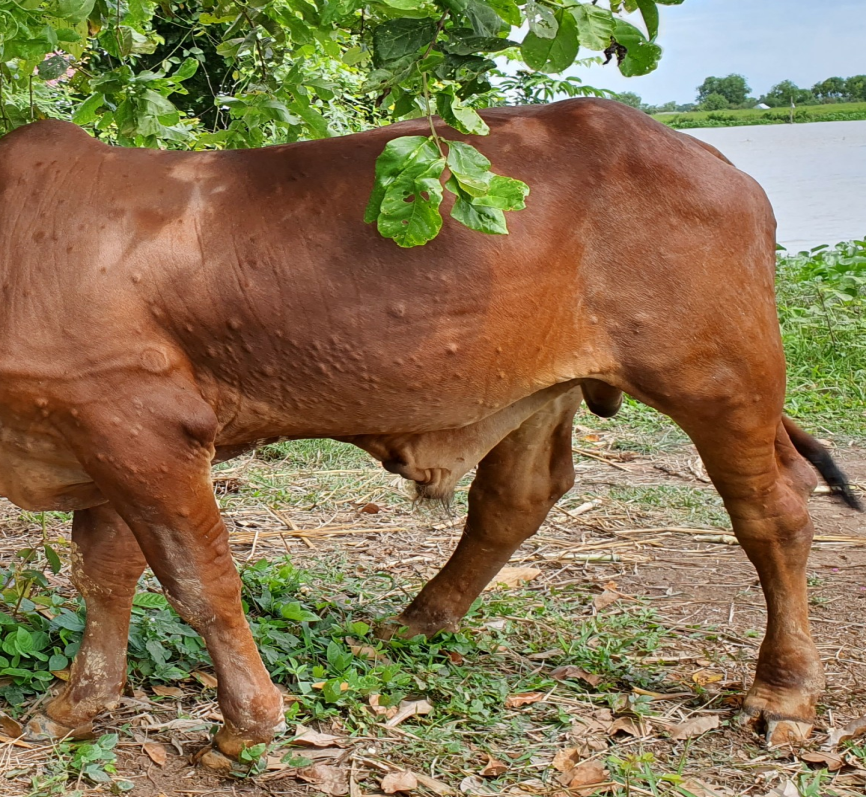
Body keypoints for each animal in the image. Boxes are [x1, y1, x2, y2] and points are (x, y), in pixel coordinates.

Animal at [0, 99, 852, 760]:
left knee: (774, 511)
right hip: (541, 388)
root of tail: (714, 160)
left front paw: (248, 724)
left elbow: (197, 582)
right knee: (517, 498)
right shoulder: (96, 437)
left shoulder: (143, 427)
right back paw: (416, 621)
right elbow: (105, 574)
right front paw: (75, 707)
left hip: (721, 379)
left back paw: (784, 692)